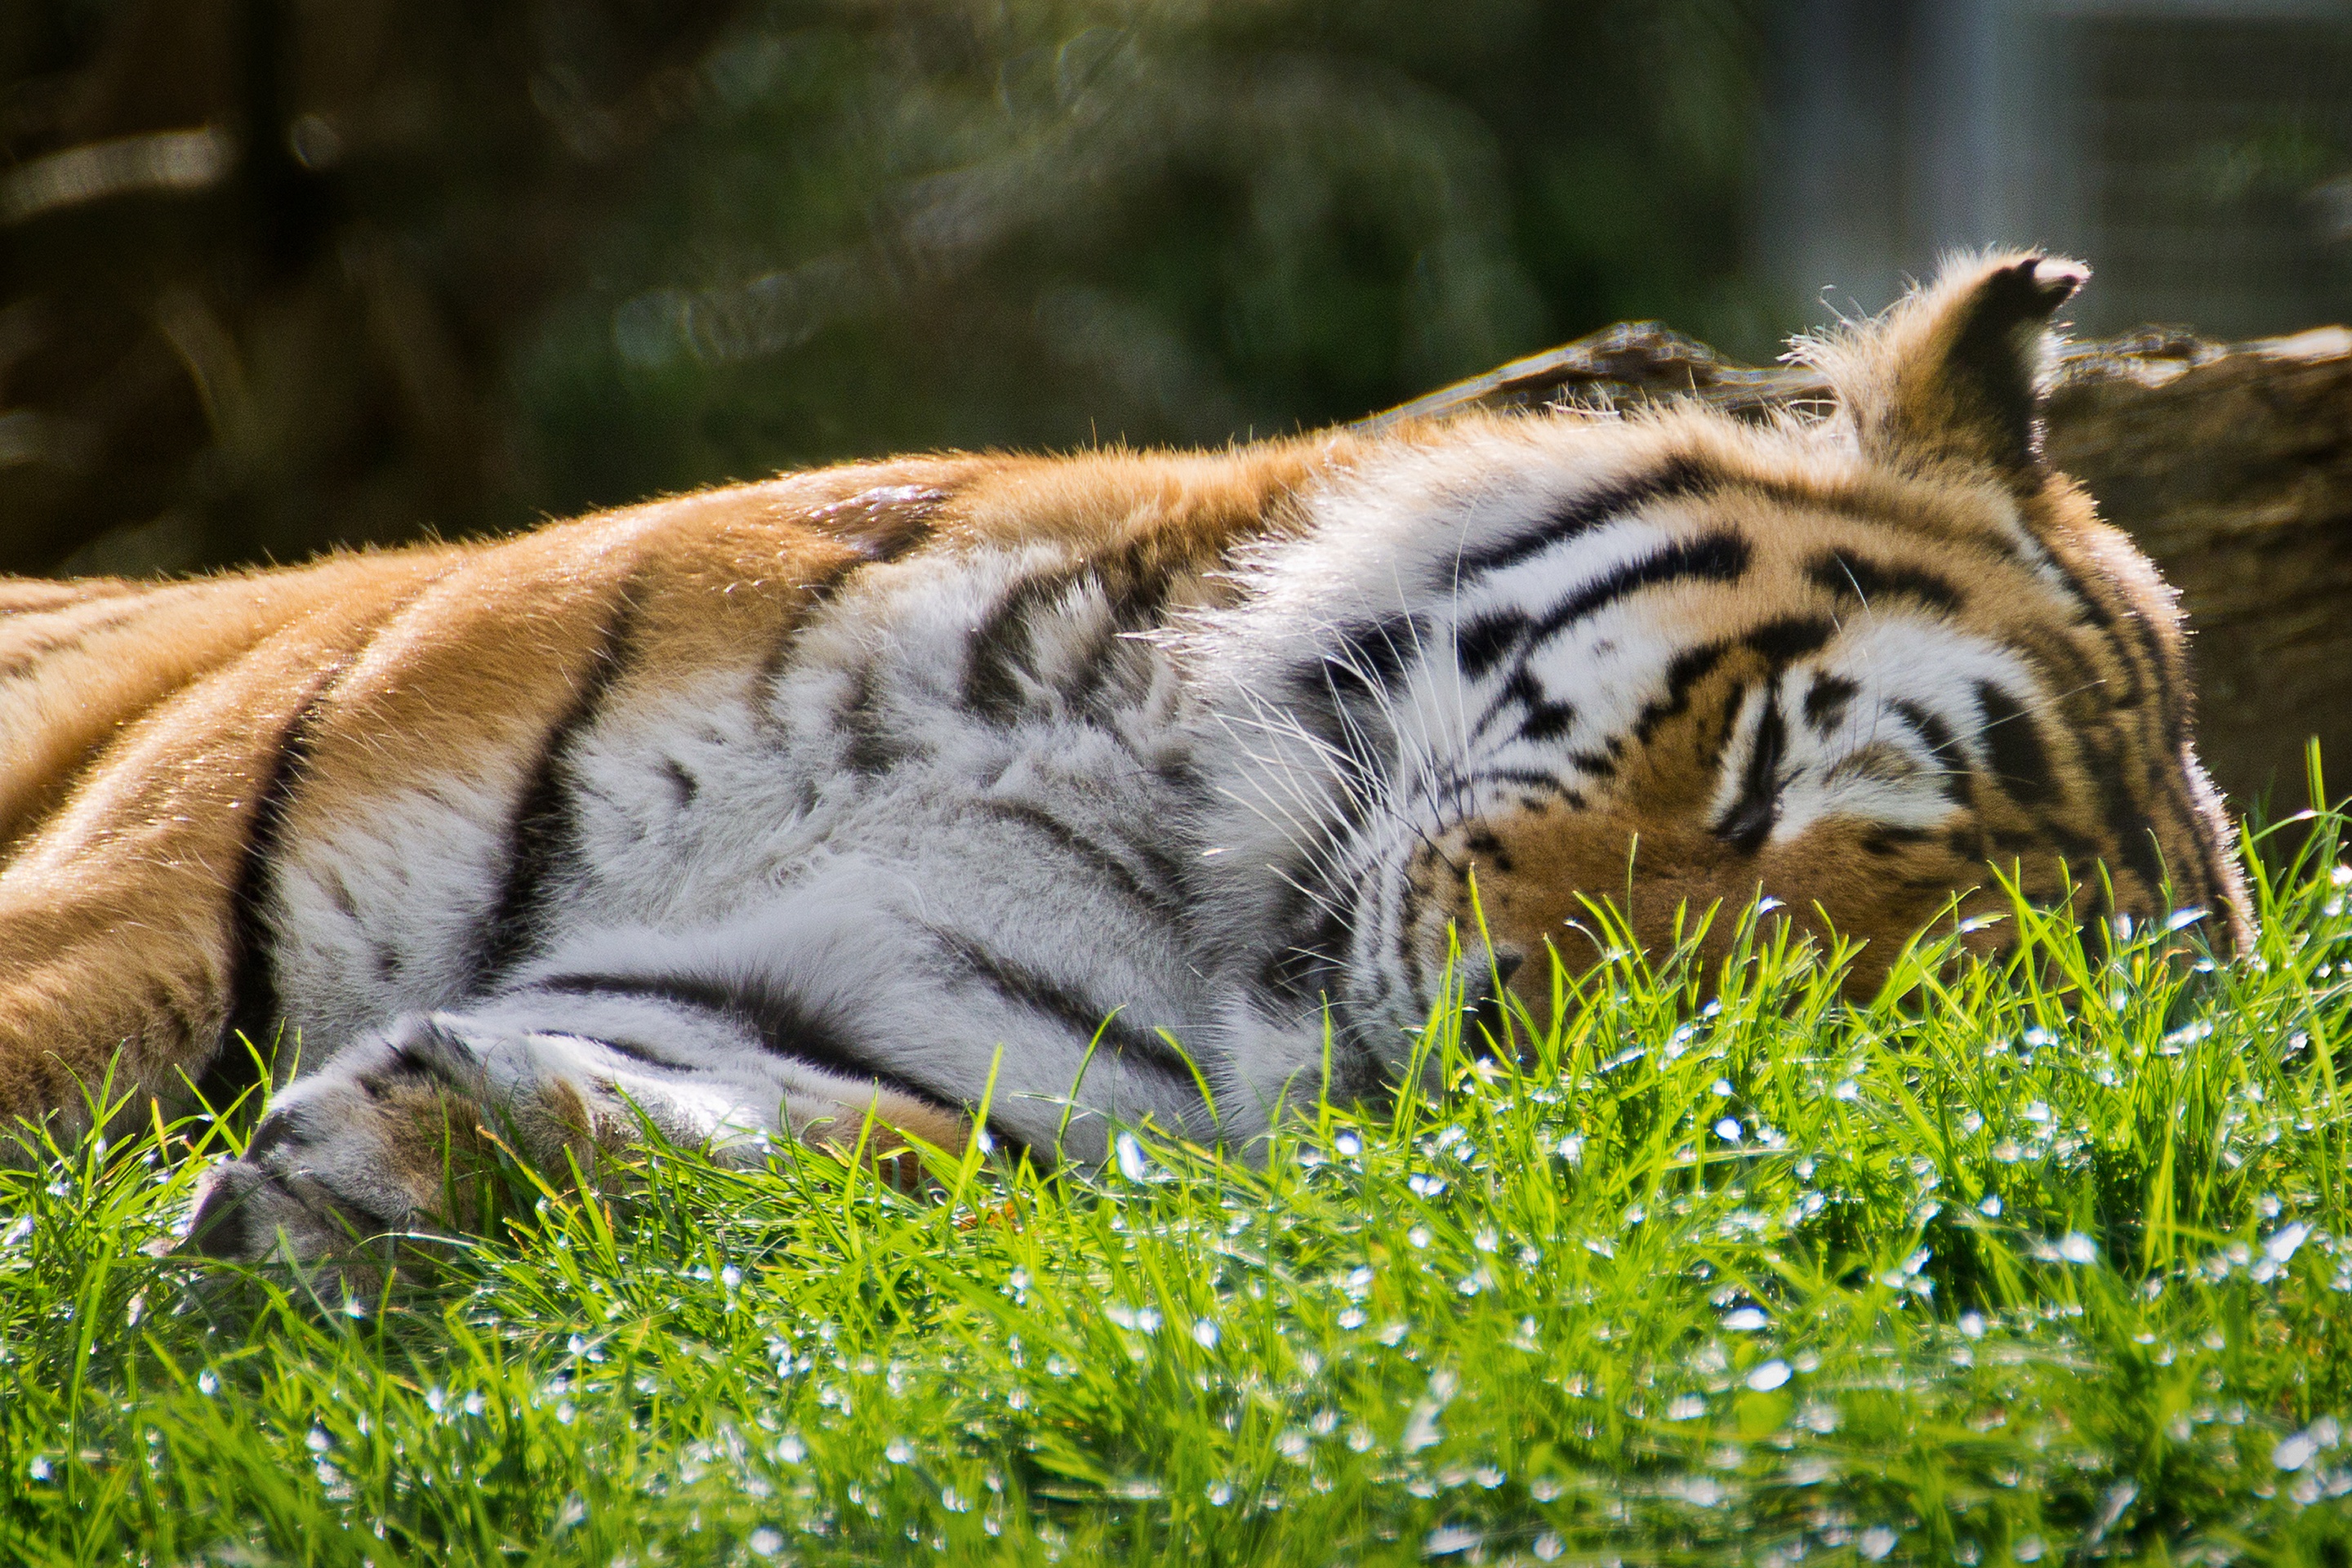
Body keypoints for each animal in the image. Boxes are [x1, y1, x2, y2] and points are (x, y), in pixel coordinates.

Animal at [0, 257, 2238, 1259]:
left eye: (1825, 1025)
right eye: (1764, 763)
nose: (1514, 1032)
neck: (1154, 832)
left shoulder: (883, 1039)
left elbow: (806, 1151)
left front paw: (403, 1190)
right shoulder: (166, 897)